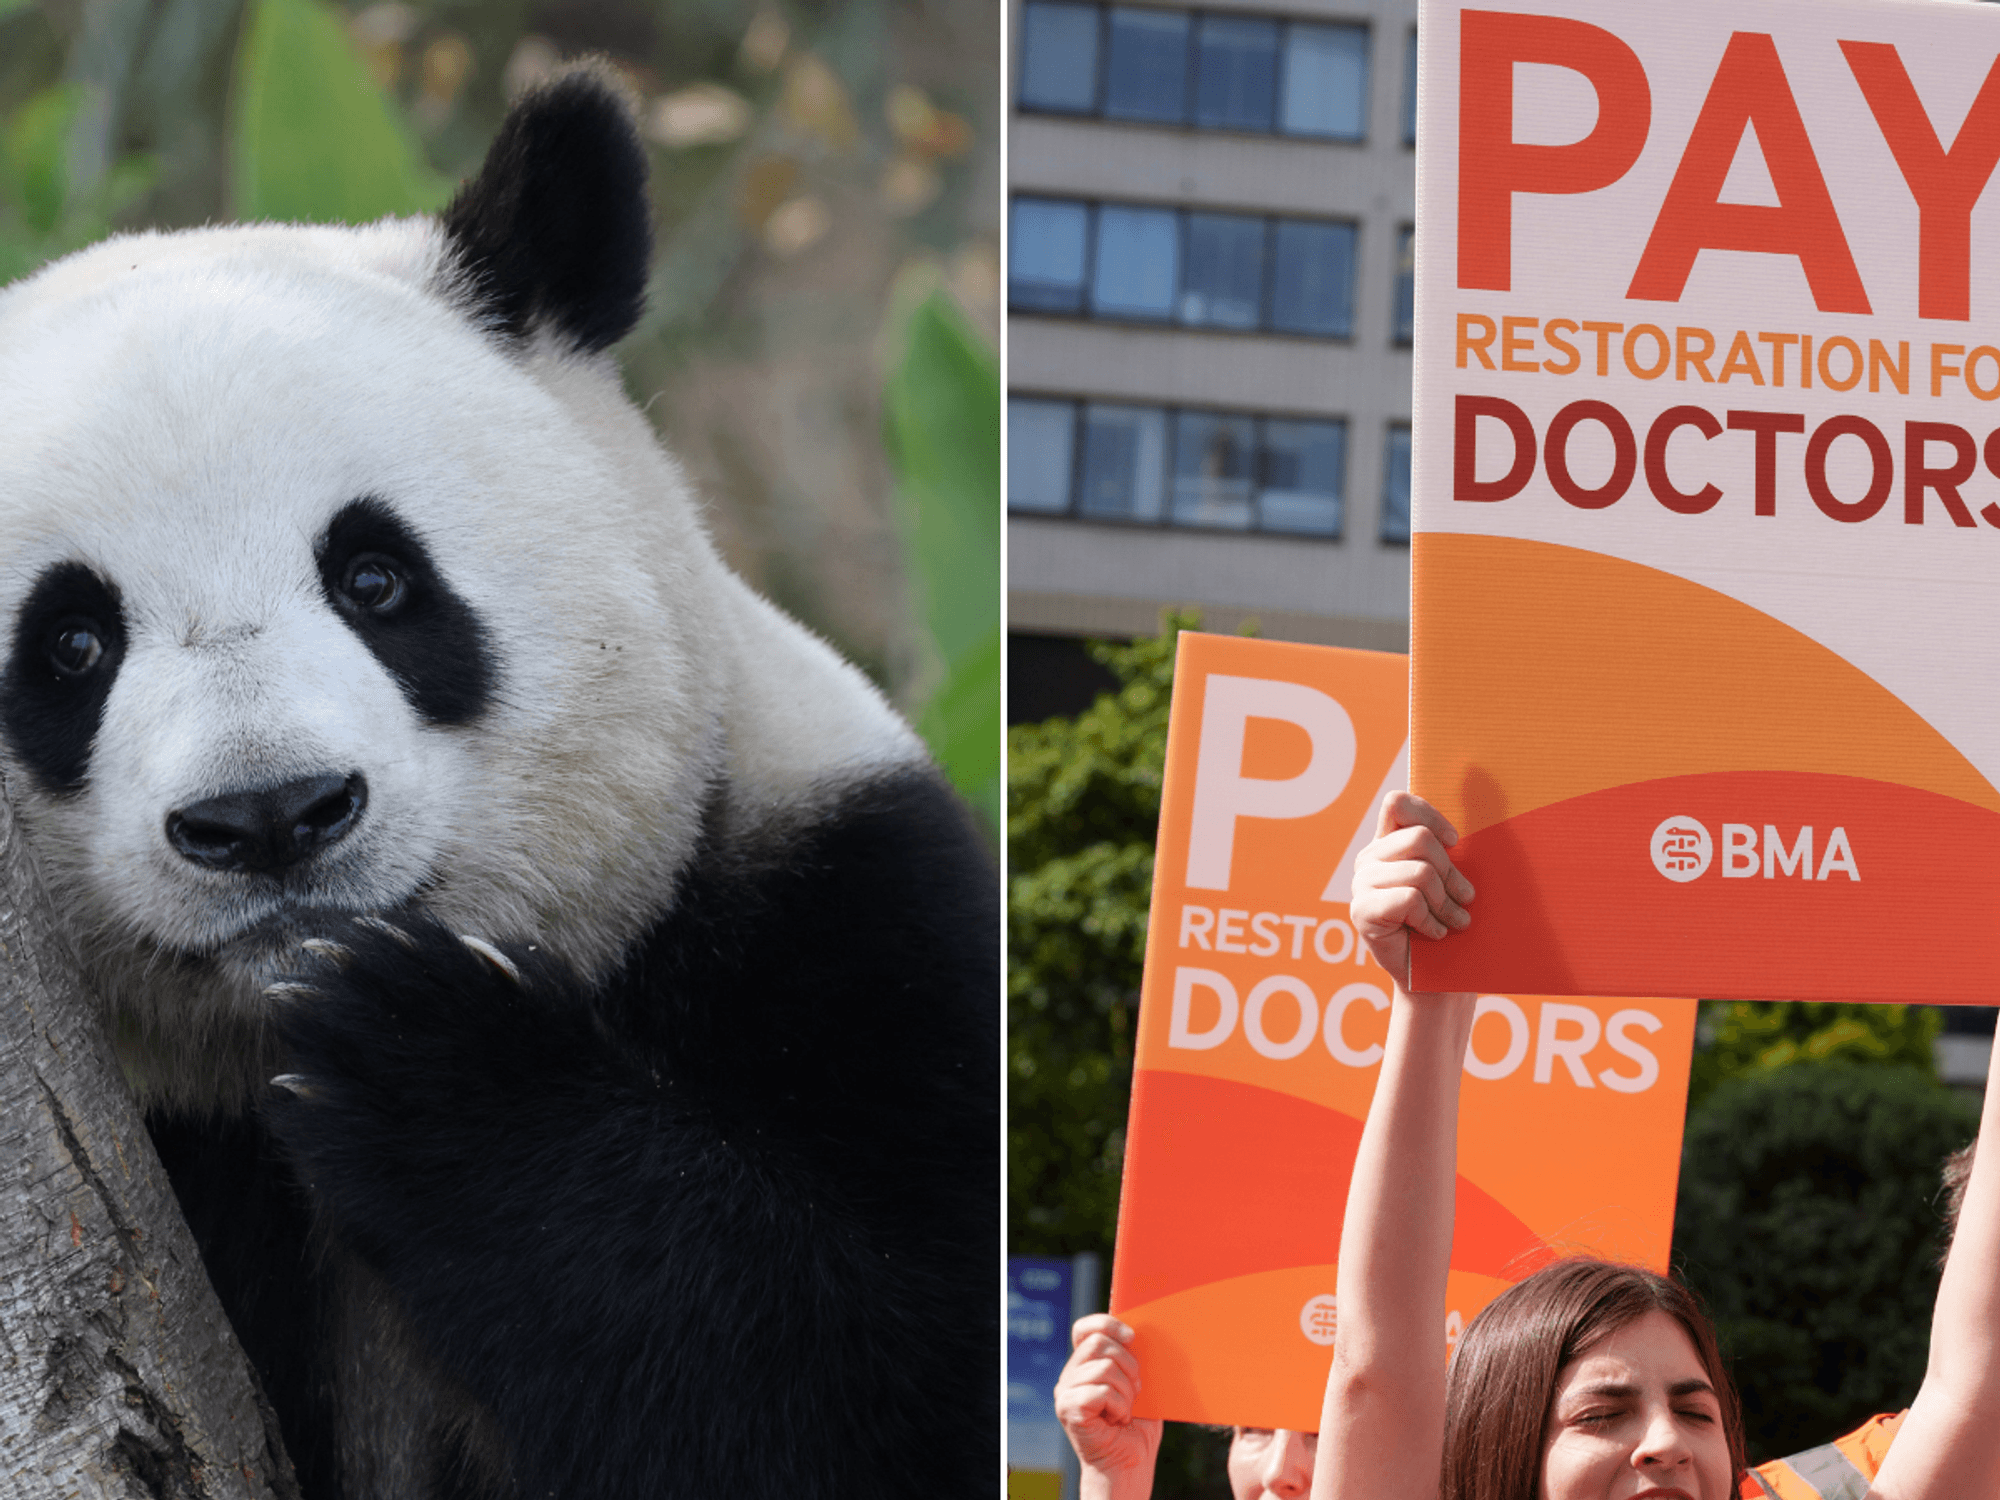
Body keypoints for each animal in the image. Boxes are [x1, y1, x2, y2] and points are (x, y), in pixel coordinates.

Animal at [0, 65, 997, 1499]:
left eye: (376, 577)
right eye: (70, 646)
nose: (271, 816)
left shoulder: (847, 911)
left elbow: (890, 1378)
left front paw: (425, 1063)